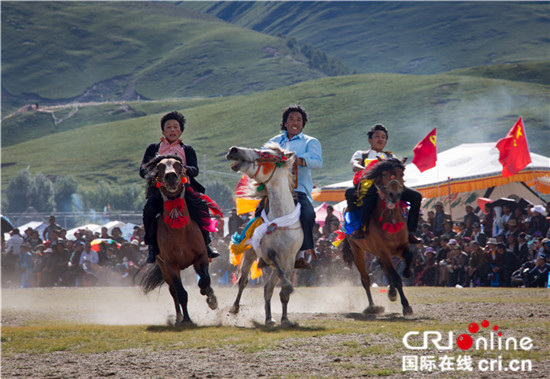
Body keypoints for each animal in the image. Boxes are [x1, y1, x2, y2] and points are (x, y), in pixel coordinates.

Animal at [140, 155, 218, 326]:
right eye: (159, 166)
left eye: (178, 165)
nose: (171, 176)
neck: (180, 233)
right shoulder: (171, 266)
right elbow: (182, 294)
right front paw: (187, 320)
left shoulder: (201, 258)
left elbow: (206, 280)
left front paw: (211, 298)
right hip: (163, 268)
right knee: (173, 292)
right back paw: (178, 318)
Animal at [226, 142, 304, 326]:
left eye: (266, 154)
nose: (233, 150)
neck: (280, 220)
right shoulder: (268, 254)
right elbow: (279, 277)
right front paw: (289, 288)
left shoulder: (289, 259)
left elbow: (282, 290)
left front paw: (285, 318)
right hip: (249, 254)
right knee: (243, 281)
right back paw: (236, 308)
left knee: (268, 288)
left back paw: (269, 318)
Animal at [344, 158, 414, 318]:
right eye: (384, 174)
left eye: (401, 174)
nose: (394, 194)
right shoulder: (384, 251)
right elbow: (396, 277)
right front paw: (406, 306)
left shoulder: (401, 247)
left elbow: (409, 257)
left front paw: (407, 272)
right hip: (357, 250)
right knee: (365, 279)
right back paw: (372, 307)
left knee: (385, 271)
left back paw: (391, 292)